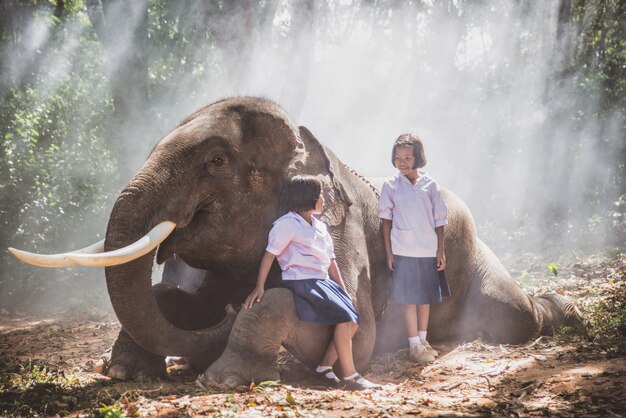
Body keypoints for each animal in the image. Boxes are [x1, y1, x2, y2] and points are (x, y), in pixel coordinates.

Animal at [9, 95, 584, 386]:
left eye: (216, 161)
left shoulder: (344, 236)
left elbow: (353, 329)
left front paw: (223, 378)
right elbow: (171, 300)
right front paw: (123, 371)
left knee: (513, 317)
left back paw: (567, 311)